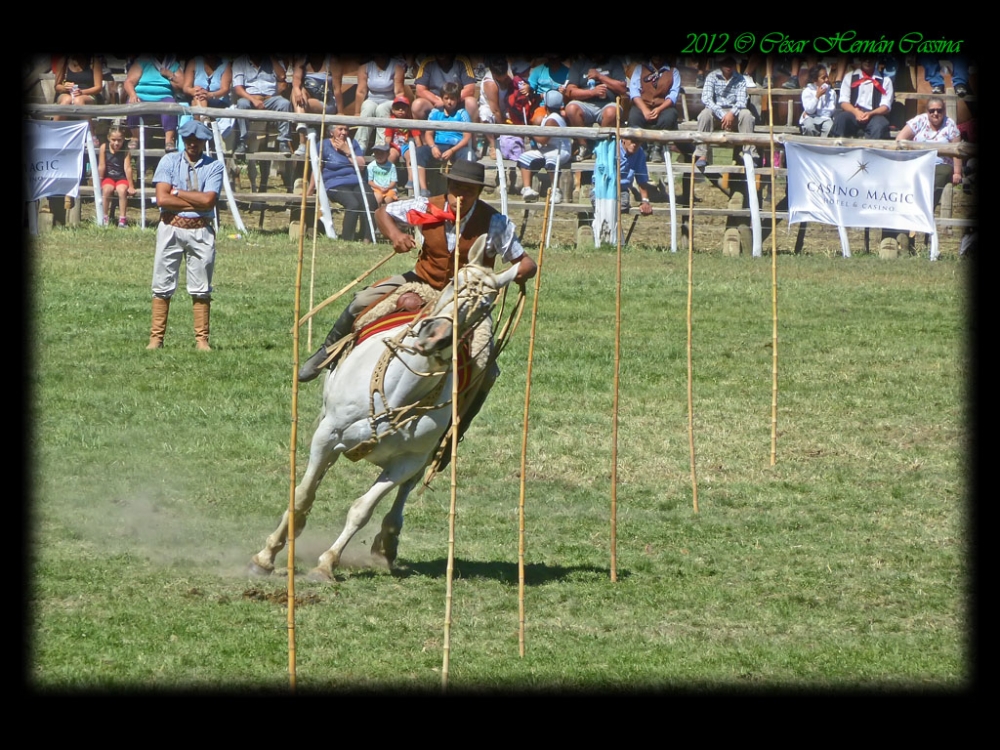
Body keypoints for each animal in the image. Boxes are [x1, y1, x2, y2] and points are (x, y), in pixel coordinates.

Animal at [250, 239, 520, 580]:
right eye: (453, 284)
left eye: (485, 306)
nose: (435, 337)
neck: (399, 391)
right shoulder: (327, 435)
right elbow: (302, 495)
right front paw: (266, 556)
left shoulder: (409, 460)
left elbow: (362, 509)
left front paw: (326, 564)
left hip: (428, 456)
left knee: (403, 495)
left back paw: (387, 545)